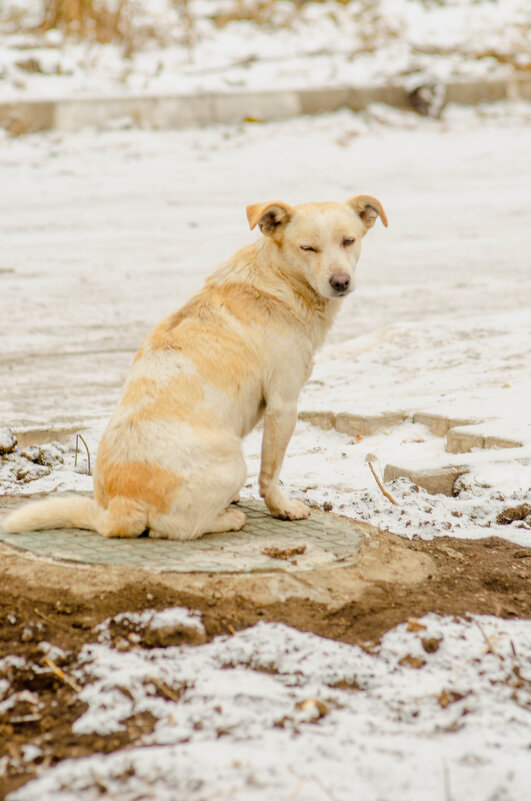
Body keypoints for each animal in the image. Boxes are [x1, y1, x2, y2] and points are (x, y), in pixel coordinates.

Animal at [3, 196, 386, 540]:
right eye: (308, 248)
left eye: (348, 241)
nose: (340, 281)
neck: (276, 279)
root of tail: (118, 511)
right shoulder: (283, 404)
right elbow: (270, 473)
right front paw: (282, 508)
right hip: (233, 462)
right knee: (175, 530)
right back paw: (227, 518)